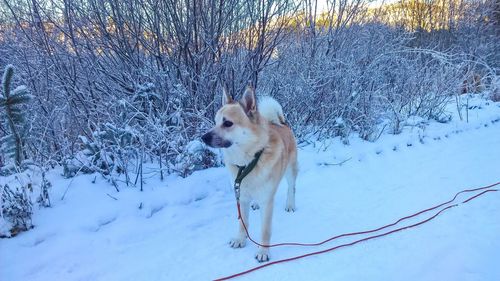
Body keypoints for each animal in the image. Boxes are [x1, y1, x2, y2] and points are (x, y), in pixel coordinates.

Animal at [202, 86, 298, 262]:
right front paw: (240, 239)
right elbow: (243, 222)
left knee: (291, 188)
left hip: (290, 171)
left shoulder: (267, 201)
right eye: (215, 121)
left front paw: (263, 251)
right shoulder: (241, 196)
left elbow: (265, 230)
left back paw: (290, 204)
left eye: (227, 123)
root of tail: (281, 123)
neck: (248, 162)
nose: (203, 137)